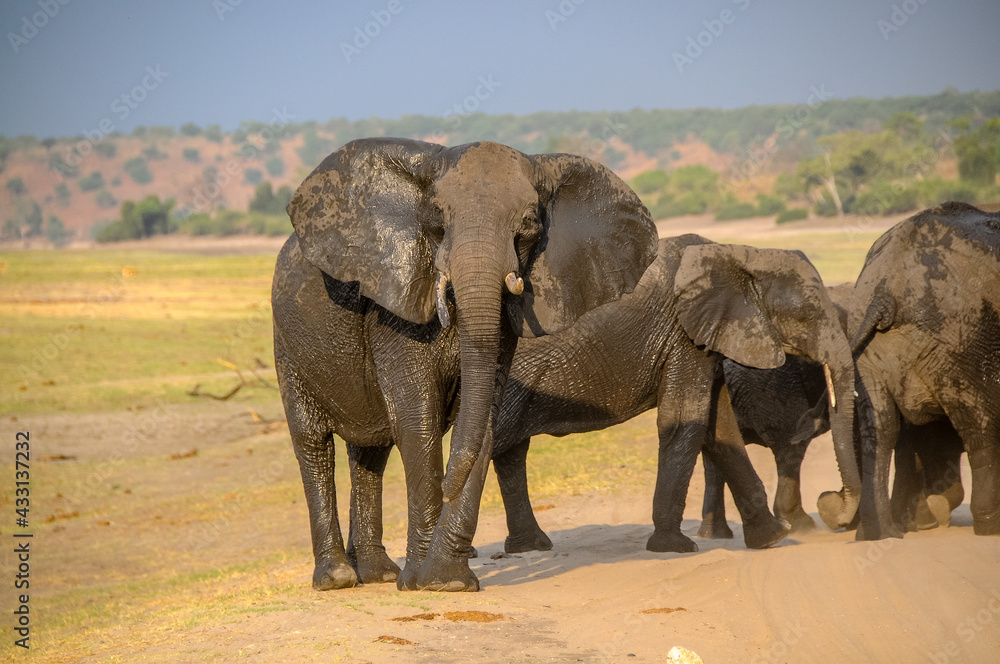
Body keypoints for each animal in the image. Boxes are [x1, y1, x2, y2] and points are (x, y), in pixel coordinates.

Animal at [271, 138, 658, 591]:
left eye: (529, 223)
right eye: (437, 218)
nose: (446, 489)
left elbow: (483, 417)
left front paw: (447, 581)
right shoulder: (393, 312)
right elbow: (417, 420)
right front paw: (422, 582)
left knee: (370, 452)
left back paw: (378, 574)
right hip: (286, 344)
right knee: (313, 444)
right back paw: (337, 578)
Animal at [486, 234, 857, 555]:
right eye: (806, 316)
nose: (831, 499)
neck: (741, 255)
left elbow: (719, 428)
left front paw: (772, 538)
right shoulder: (683, 336)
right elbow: (684, 422)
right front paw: (674, 547)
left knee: (511, 454)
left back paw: (530, 546)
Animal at [824, 202, 1000, 539]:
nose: (830, 502)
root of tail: (884, 291)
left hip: (872, 347)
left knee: (880, 428)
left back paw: (878, 533)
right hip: (961, 335)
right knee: (979, 425)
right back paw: (990, 526)